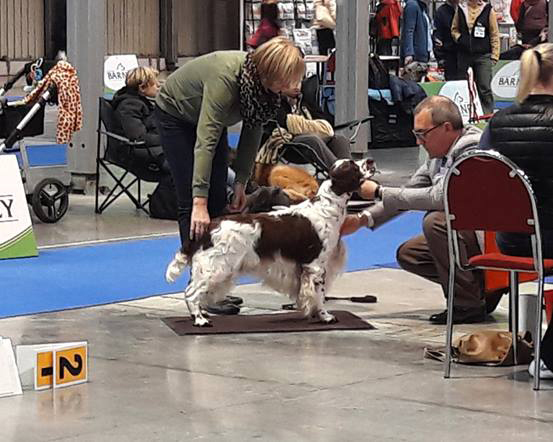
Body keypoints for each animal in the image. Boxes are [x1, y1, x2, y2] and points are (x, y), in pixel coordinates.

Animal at [164, 158, 376, 324]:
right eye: (352, 166)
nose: (371, 160)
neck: (326, 207)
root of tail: (208, 226)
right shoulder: (315, 266)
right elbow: (319, 295)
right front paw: (325, 316)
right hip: (216, 266)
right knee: (191, 292)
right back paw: (200, 319)